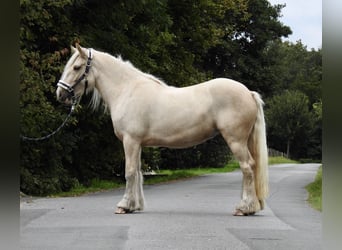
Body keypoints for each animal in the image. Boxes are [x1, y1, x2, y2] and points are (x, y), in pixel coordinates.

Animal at [56, 44, 270, 216]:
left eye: (76, 67)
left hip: (235, 140)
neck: (127, 90)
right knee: (249, 169)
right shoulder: (137, 143)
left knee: (247, 167)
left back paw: (243, 208)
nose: (60, 94)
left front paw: (124, 206)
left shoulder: (130, 141)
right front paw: (135, 205)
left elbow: (129, 172)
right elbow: (138, 172)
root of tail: (248, 93)